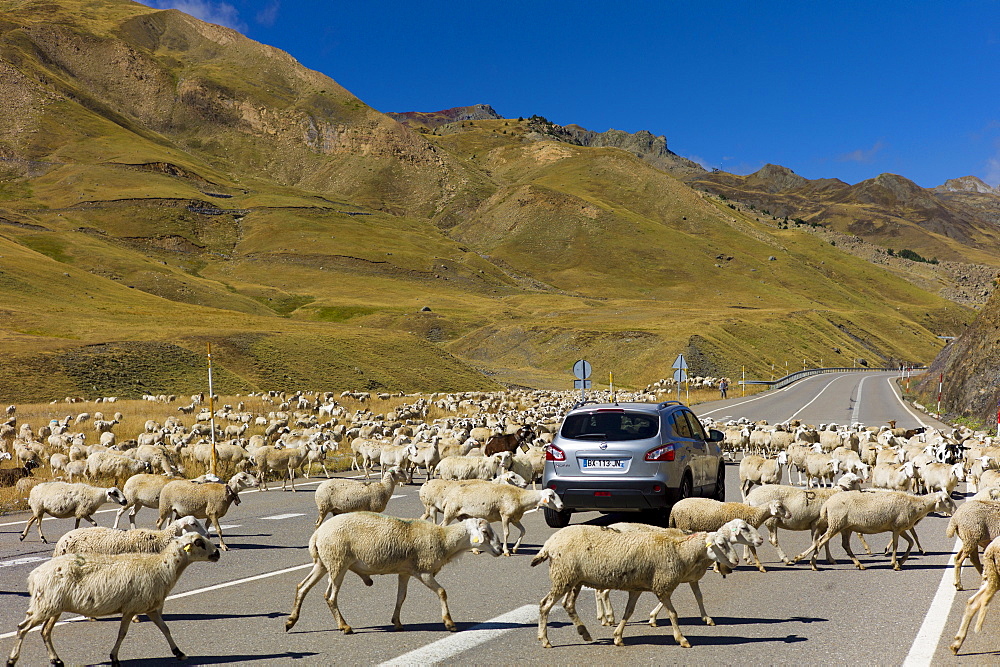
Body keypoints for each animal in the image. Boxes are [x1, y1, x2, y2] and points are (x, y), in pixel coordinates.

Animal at [6, 528, 219, 664]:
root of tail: (33, 576)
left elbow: (165, 629)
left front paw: (179, 653)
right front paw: (114, 658)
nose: (217, 553)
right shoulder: (131, 607)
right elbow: (122, 633)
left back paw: (56, 660)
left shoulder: (149, 608)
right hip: (45, 605)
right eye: (199, 542)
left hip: (52, 606)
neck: (162, 566)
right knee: (22, 628)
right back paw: (11, 660)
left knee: (44, 631)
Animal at [282, 516, 500, 636]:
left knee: (302, 587)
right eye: (485, 531)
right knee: (330, 596)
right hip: (338, 563)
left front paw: (397, 622)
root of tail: (316, 535)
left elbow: (401, 597)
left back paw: (291, 621)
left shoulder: (405, 572)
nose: (499, 549)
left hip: (323, 563)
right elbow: (442, 592)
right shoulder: (424, 571)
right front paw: (449, 623)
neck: (443, 540)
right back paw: (344, 626)